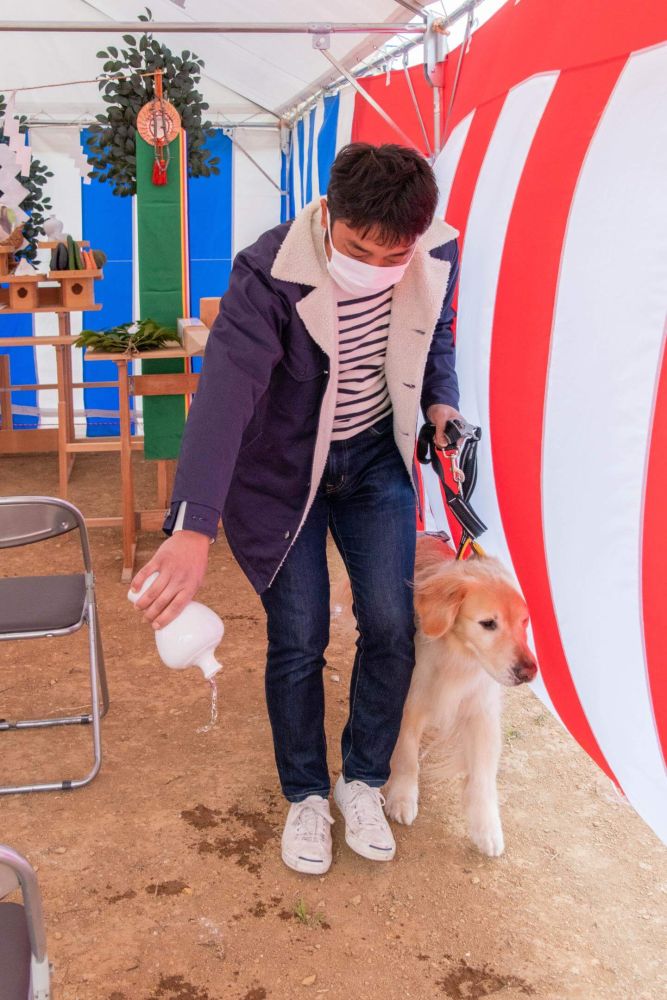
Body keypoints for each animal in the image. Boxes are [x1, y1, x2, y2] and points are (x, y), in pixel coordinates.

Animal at [334, 536, 536, 856]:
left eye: (524, 622)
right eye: (488, 623)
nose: (529, 672)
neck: (456, 656)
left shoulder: (481, 711)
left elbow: (483, 775)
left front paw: (487, 829)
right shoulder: (410, 702)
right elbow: (406, 756)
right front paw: (402, 798)